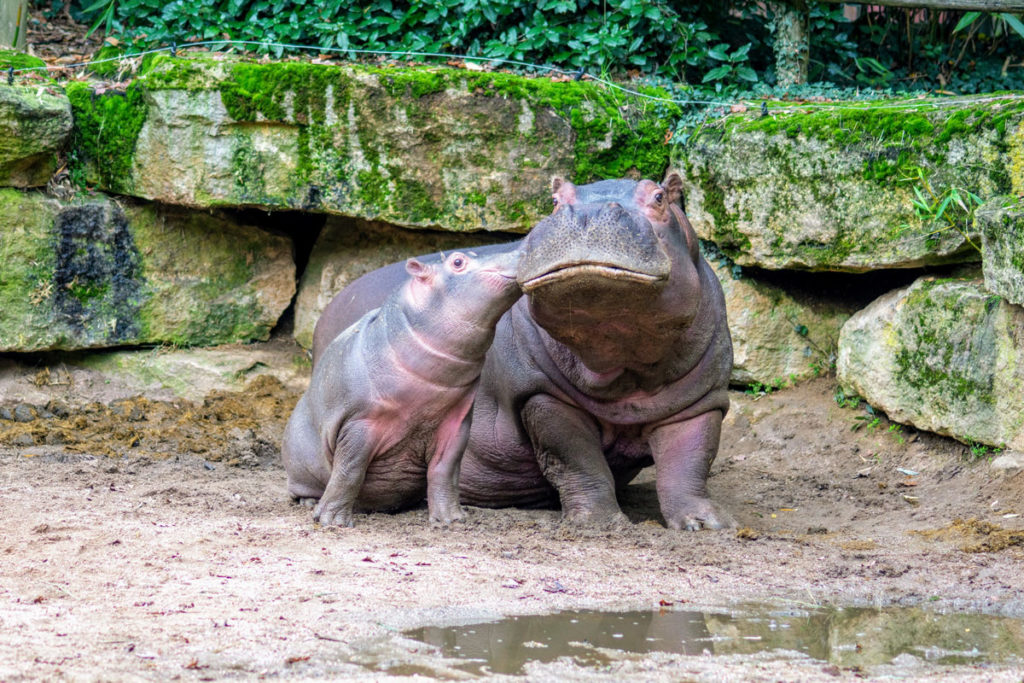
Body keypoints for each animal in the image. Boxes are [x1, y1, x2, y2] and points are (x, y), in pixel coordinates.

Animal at [280, 248, 520, 528]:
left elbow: (445, 469)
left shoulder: (455, 422)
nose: (520, 251)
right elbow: (349, 469)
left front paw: (451, 520)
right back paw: (310, 502)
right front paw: (333, 522)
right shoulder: (360, 422)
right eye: (458, 261)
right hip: (300, 467)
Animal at [307, 174, 733, 532]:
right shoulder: (542, 395)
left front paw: (705, 525)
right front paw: (599, 524)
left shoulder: (702, 400)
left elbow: (689, 463)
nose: (589, 213)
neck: (620, 356)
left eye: (660, 197)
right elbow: (578, 461)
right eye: (556, 200)